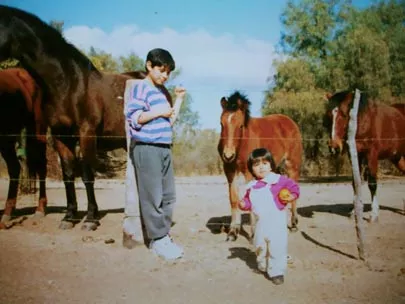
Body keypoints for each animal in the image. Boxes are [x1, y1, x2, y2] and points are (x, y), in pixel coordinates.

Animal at [216, 90, 302, 240]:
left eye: (240, 126)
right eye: (222, 124)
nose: (228, 155)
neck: (242, 143)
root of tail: (290, 122)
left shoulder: (249, 172)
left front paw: (253, 233)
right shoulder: (230, 171)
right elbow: (233, 199)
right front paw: (232, 232)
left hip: (292, 165)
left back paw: (294, 224)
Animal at [324, 89, 404, 221]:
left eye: (344, 115)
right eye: (329, 116)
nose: (334, 147)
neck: (364, 122)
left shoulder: (371, 155)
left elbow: (372, 183)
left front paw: (374, 214)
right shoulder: (355, 156)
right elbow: (355, 183)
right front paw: (355, 211)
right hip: (398, 159)